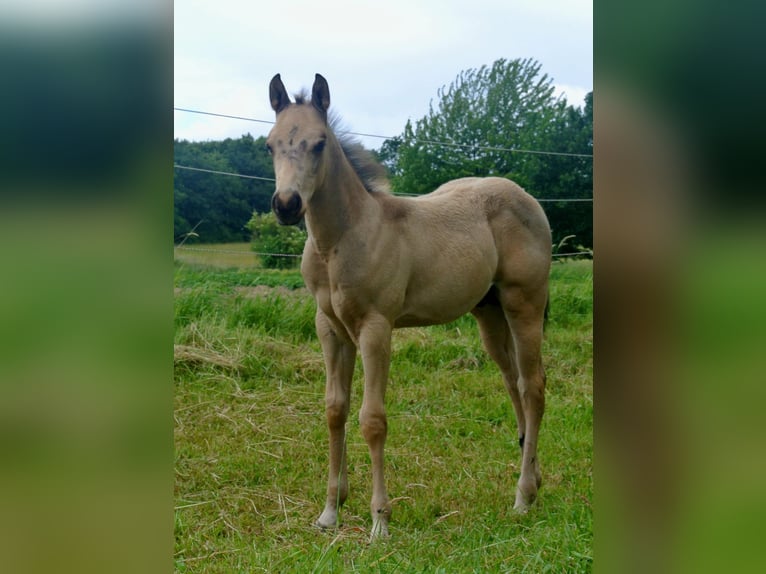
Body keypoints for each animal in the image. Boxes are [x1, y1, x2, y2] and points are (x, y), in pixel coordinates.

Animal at [267, 73, 552, 538]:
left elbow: (372, 419)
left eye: (320, 143)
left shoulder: (375, 328)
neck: (342, 239)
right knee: (512, 382)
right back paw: (535, 479)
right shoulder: (330, 328)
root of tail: (527, 198)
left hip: (523, 301)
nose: (287, 204)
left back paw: (523, 498)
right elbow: (334, 410)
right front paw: (330, 511)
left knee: (533, 386)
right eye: (270, 144)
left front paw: (379, 521)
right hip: (488, 312)